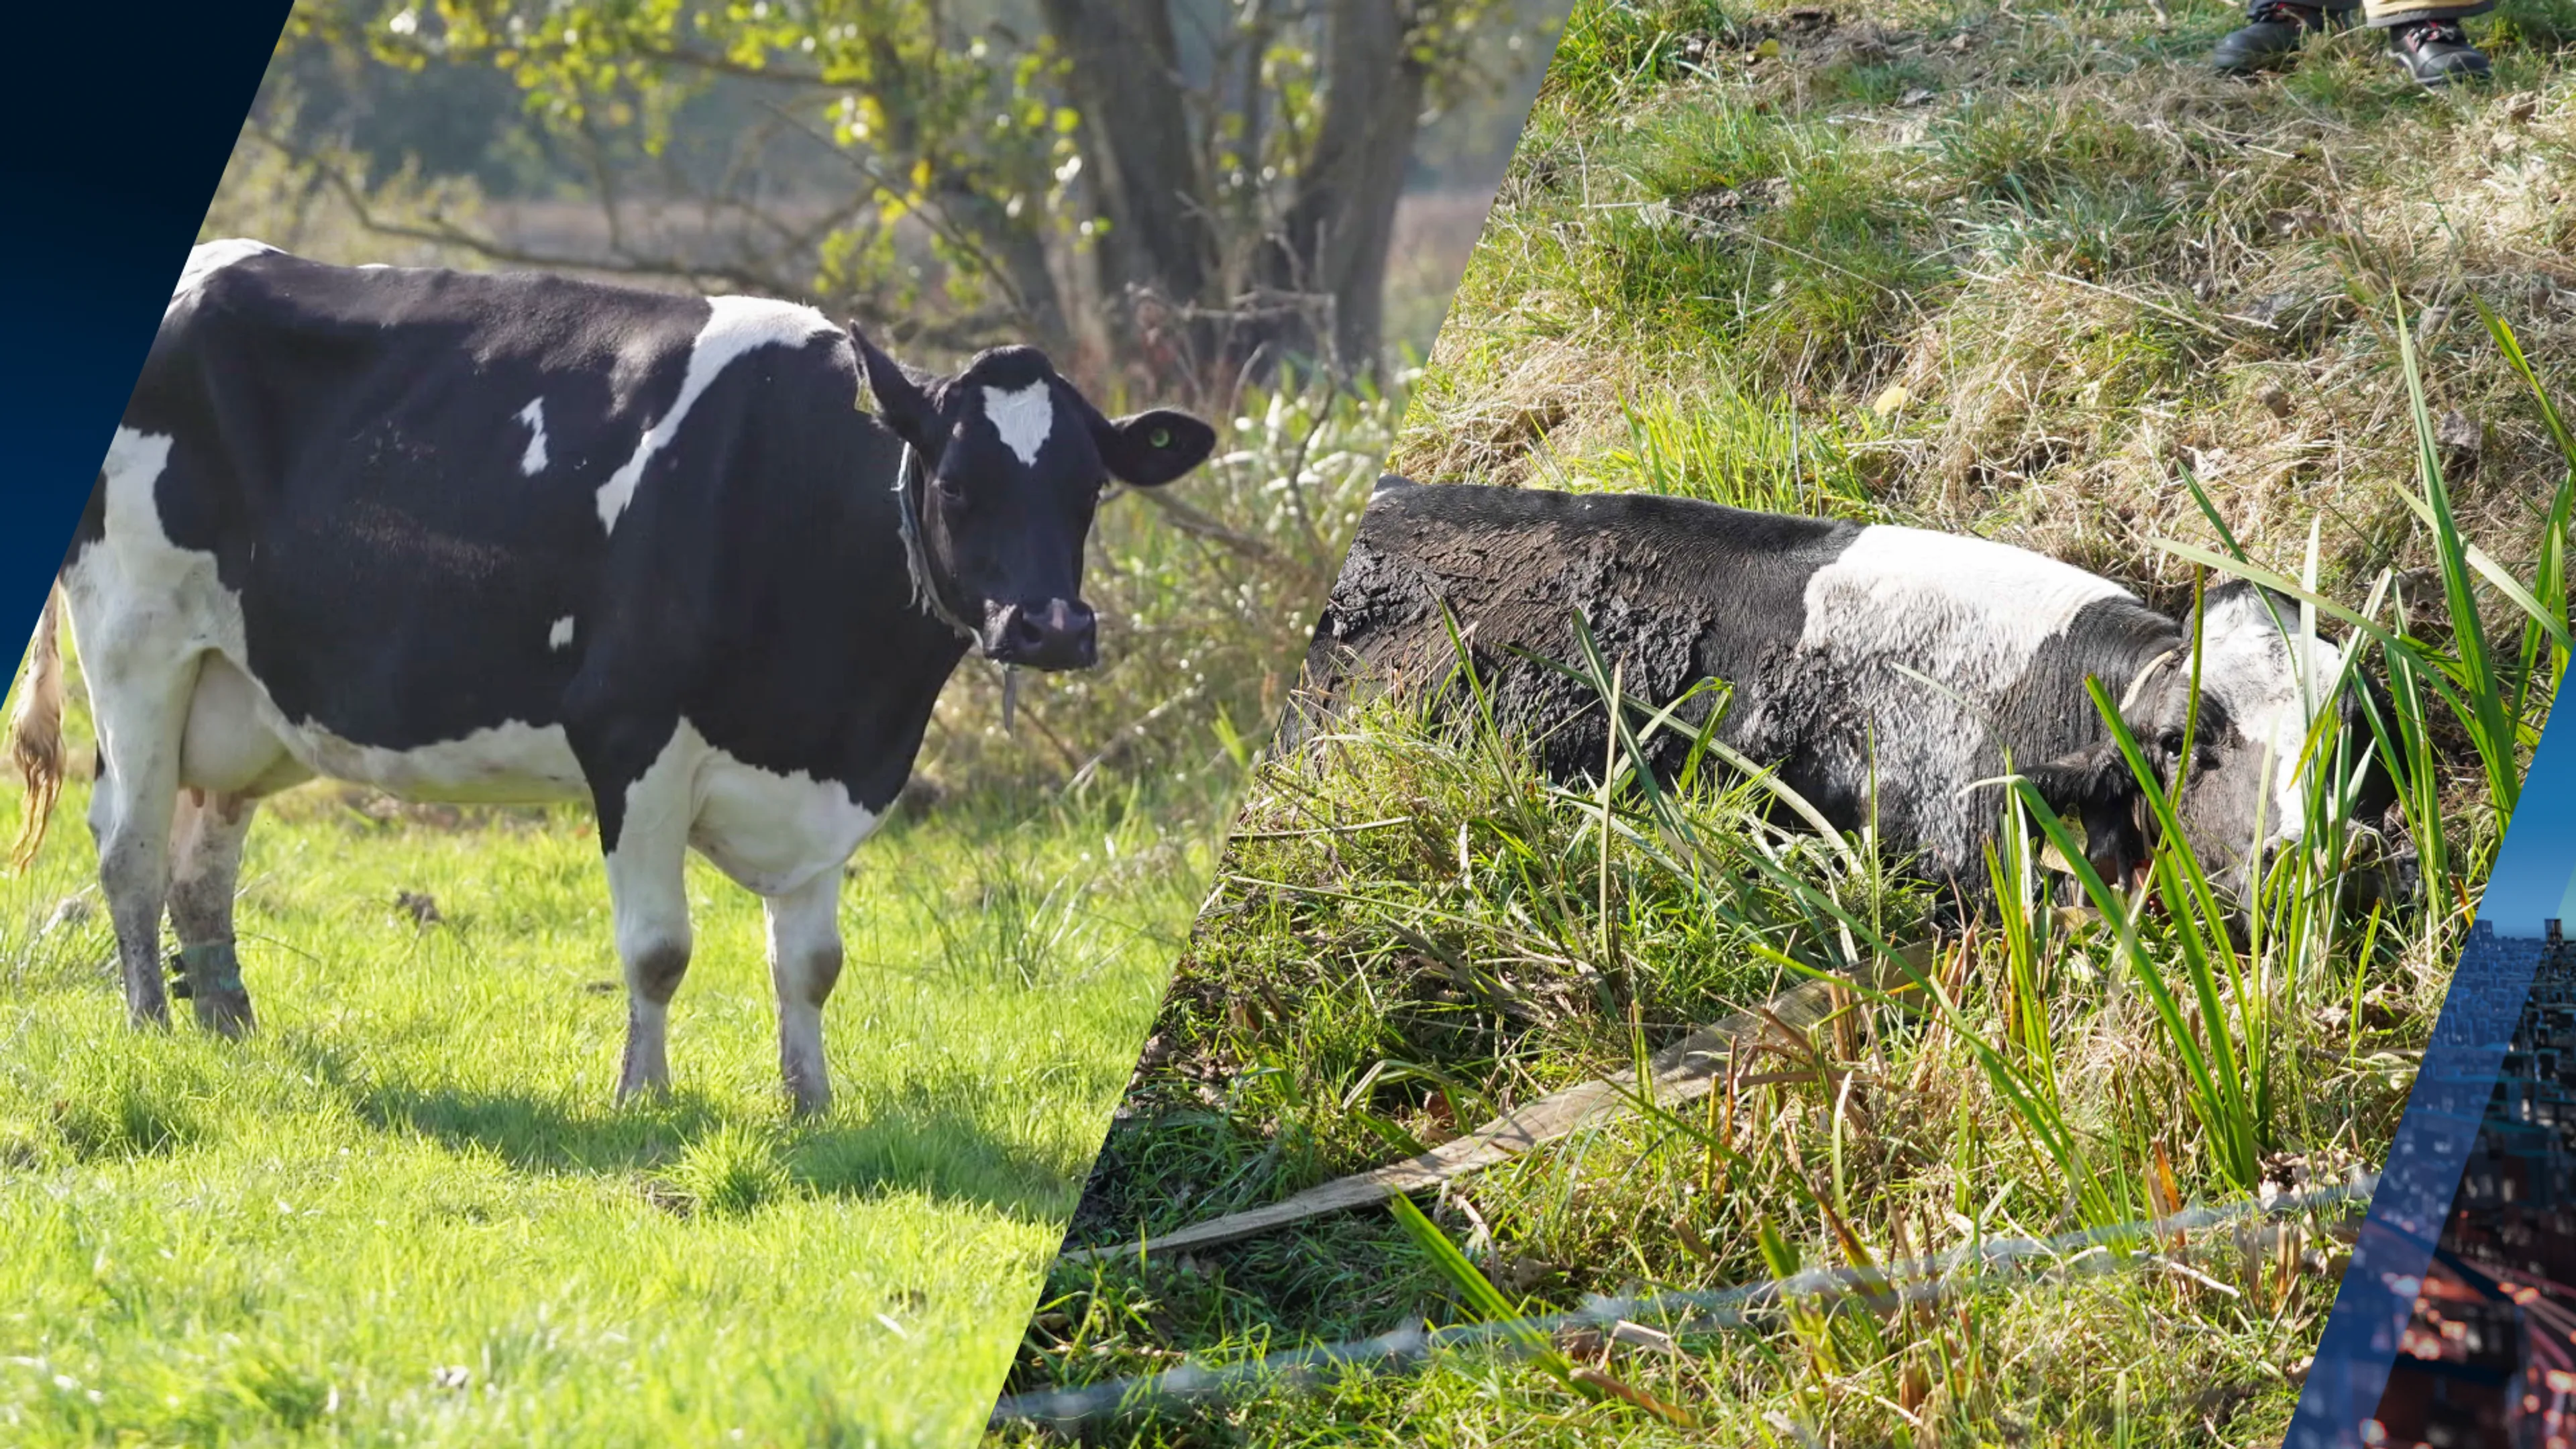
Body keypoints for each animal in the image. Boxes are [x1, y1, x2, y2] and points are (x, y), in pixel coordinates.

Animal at [4, 239, 1215, 1115]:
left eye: (1089, 490)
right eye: (958, 483)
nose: (1052, 627)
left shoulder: (834, 779)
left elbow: (812, 963)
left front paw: (811, 1105)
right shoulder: (630, 736)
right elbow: (660, 951)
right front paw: (644, 1097)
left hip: (242, 692)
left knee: (203, 871)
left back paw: (233, 1035)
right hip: (136, 644)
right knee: (130, 853)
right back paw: (153, 1032)